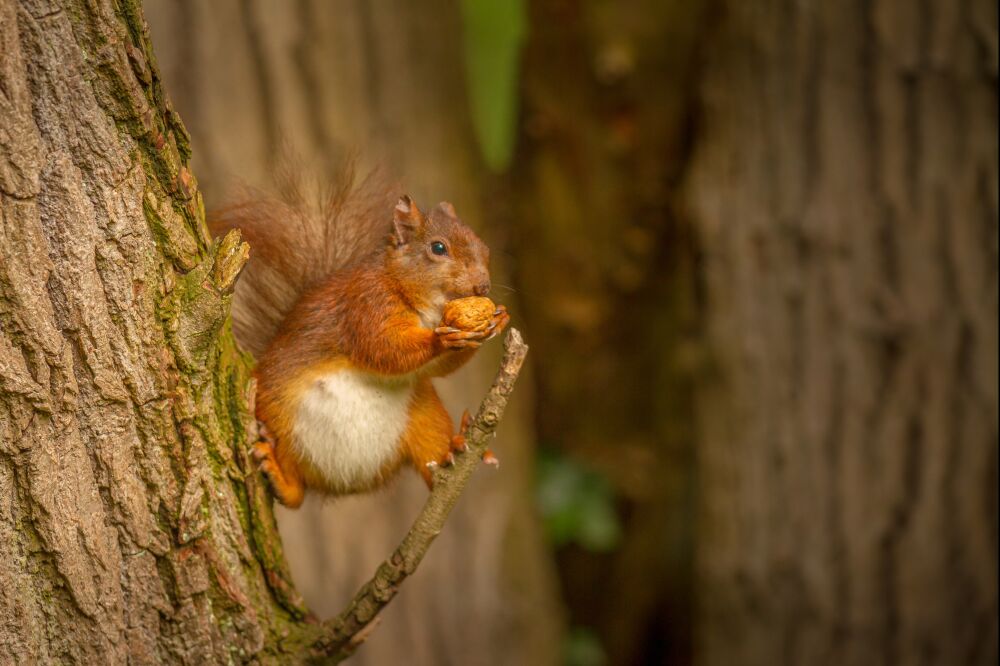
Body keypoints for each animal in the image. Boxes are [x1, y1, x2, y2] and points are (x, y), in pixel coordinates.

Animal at [211, 169, 508, 506]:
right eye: (438, 248)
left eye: (484, 248)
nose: (483, 286)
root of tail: (346, 483)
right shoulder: (364, 304)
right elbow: (383, 348)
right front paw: (439, 339)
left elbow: (438, 368)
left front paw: (498, 319)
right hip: (276, 417)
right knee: (296, 493)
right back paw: (279, 476)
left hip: (424, 416)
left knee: (435, 466)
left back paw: (457, 447)